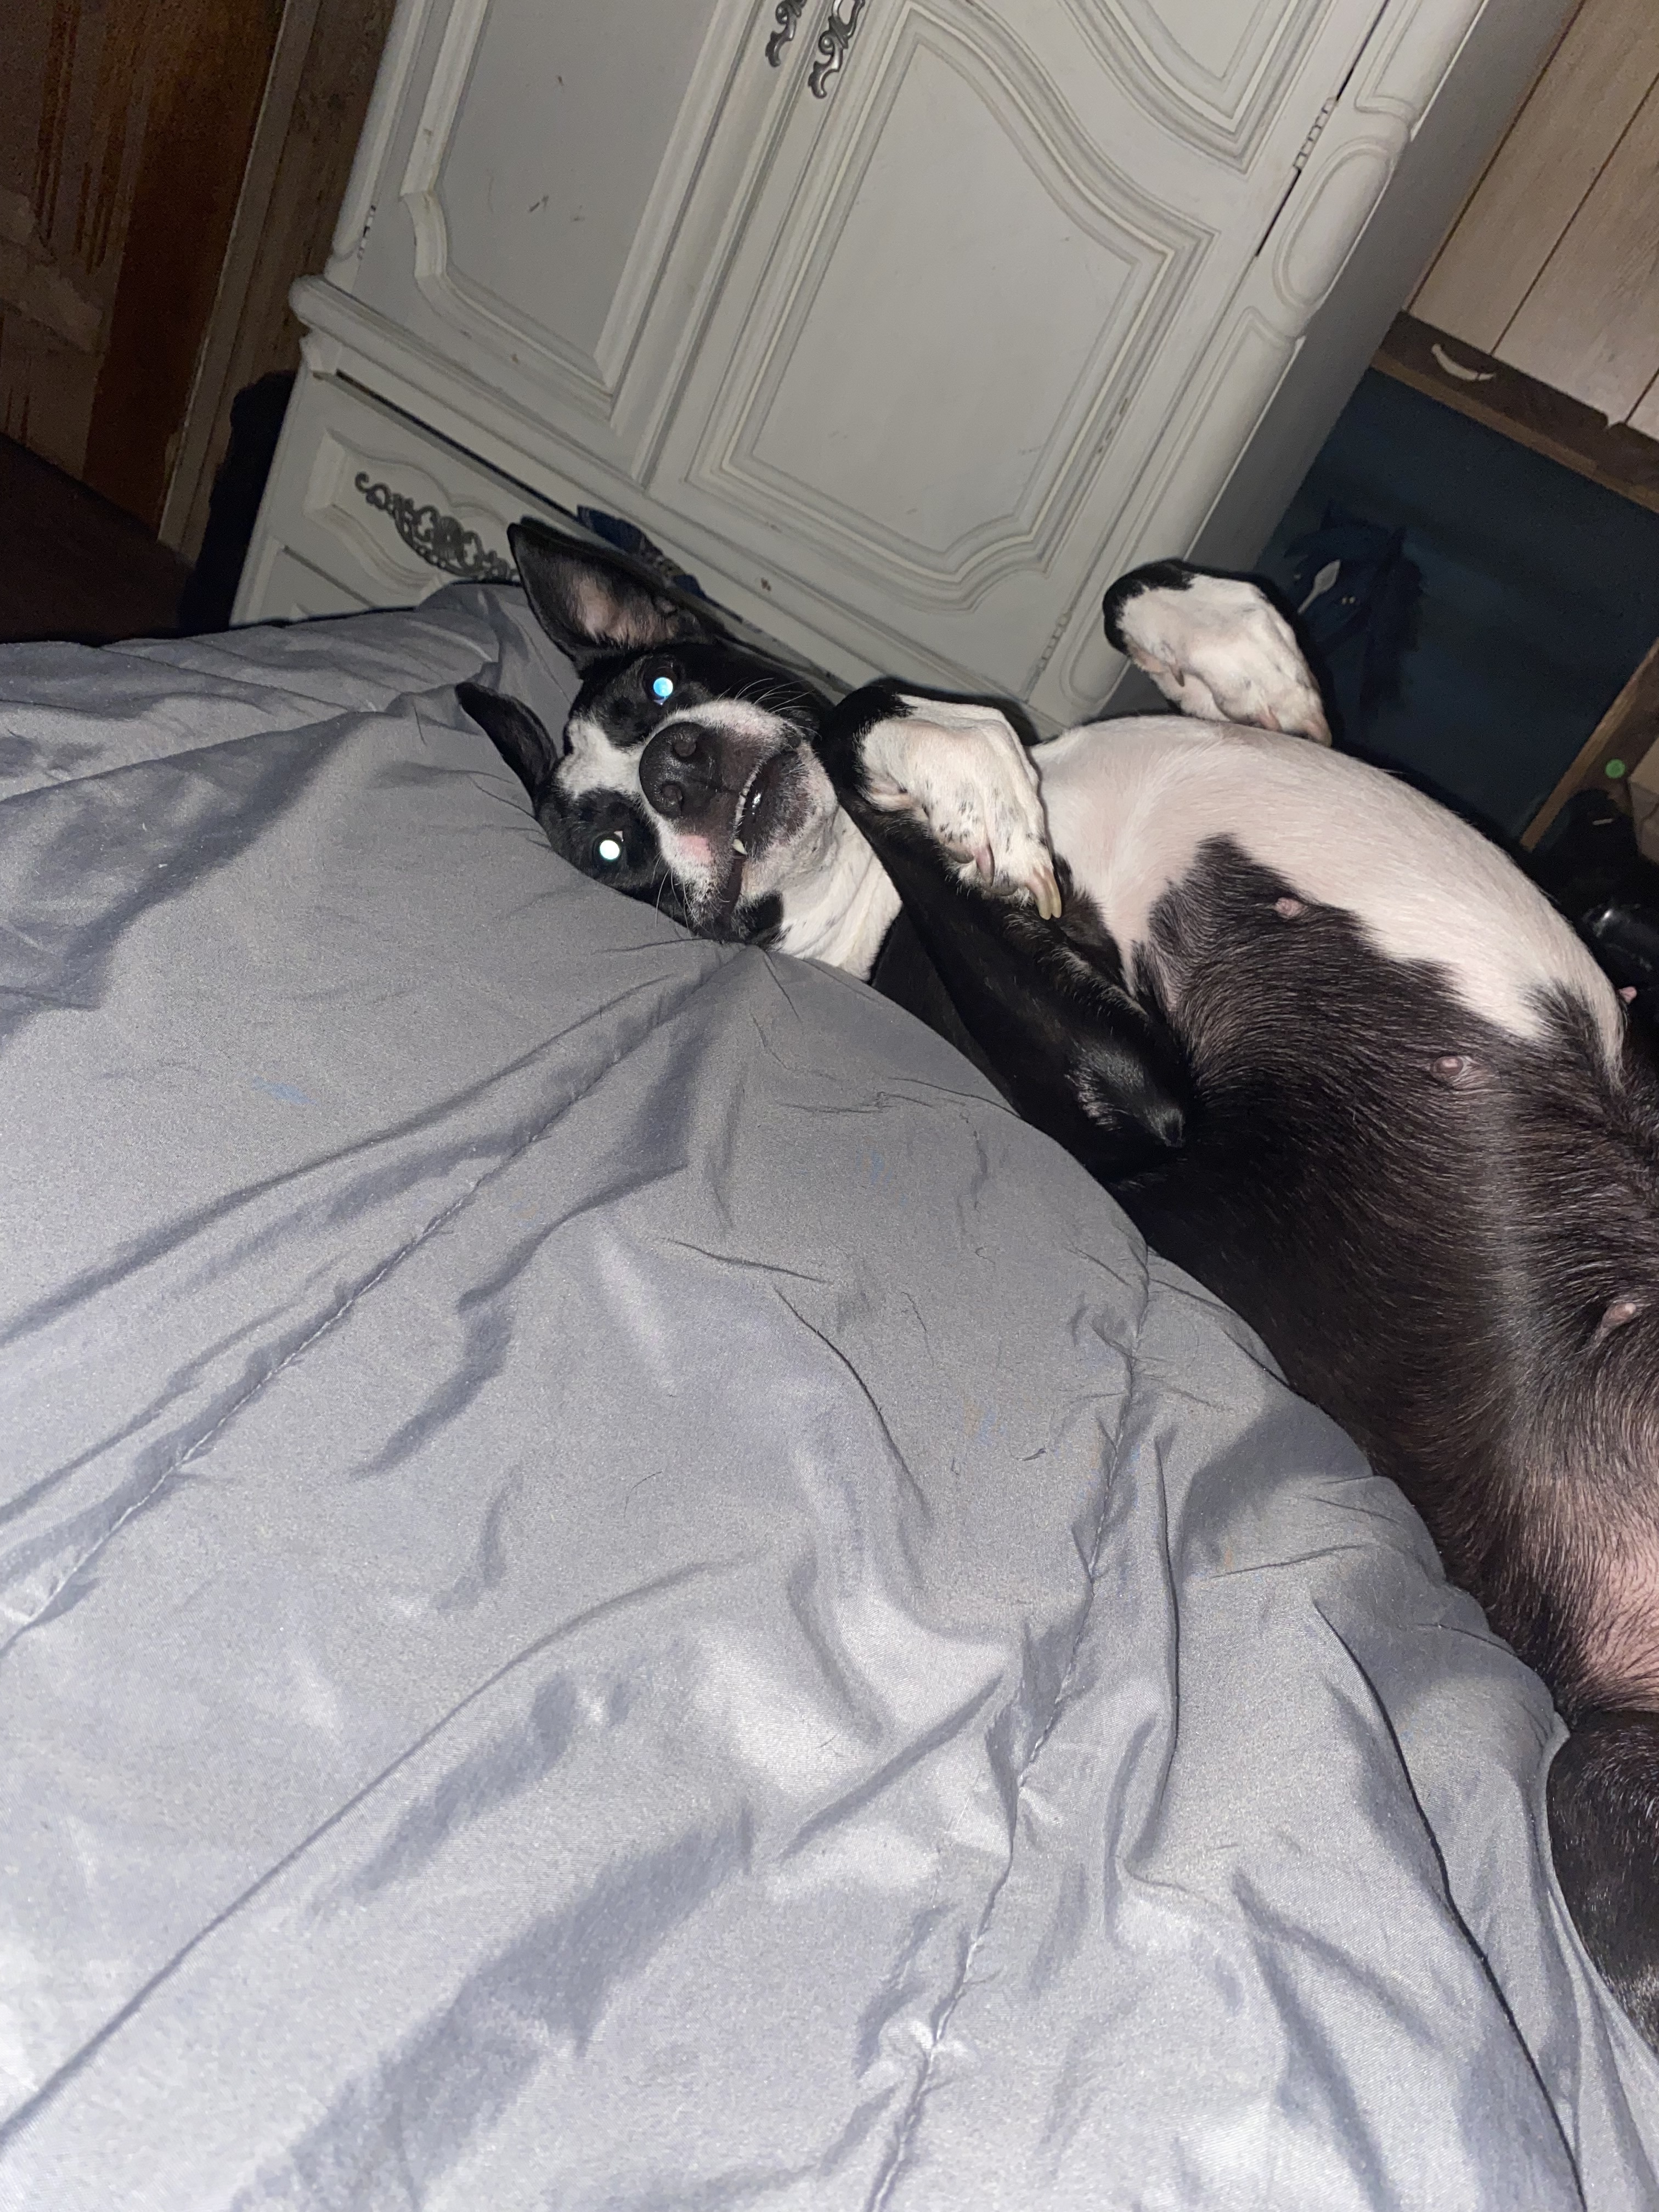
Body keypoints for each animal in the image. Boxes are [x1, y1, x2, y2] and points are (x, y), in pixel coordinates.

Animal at [460, 519, 1659, 2049]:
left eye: (659, 686)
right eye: (608, 849)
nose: (670, 776)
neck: (854, 915)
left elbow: (1143, 596)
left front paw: (1246, 668)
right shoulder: (1135, 1101)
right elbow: (869, 716)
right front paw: (976, 784)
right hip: (1603, 1803)